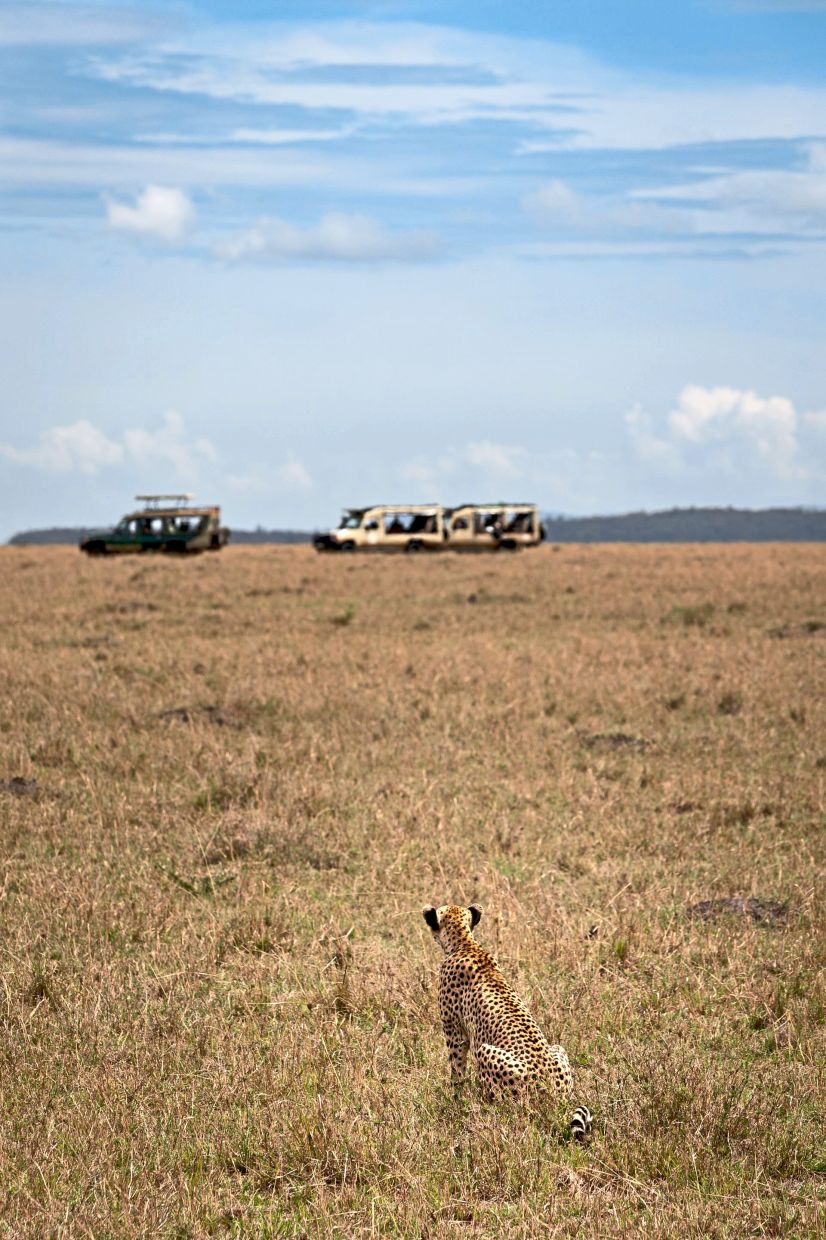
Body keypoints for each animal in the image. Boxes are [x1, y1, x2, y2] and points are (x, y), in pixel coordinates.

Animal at [422, 902, 592, 1141]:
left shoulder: (454, 1031)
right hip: (558, 1049)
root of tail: (555, 1096)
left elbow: (456, 1070)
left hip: (486, 1052)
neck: (465, 943)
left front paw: (455, 1099)